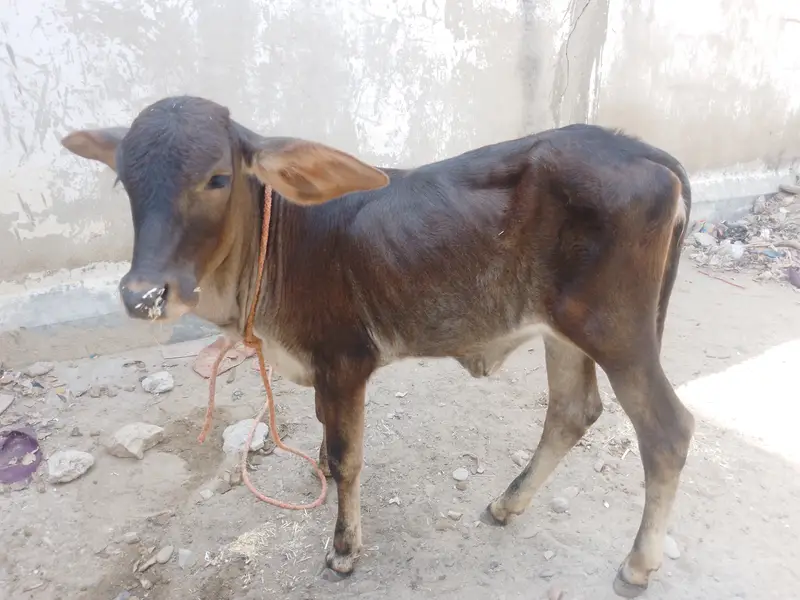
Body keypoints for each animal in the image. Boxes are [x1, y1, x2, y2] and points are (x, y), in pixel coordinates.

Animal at [60, 95, 694, 598]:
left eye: (217, 178)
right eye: (124, 180)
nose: (143, 295)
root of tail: (639, 150)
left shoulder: (345, 360)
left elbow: (349, 458)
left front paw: (343, 549)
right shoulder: (323, 368)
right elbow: (325, 430)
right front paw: (316, 469)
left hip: (618, 332)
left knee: (668, 430)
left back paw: (636, 566)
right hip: (564, 332)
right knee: (571, 411)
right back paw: (506, 504)